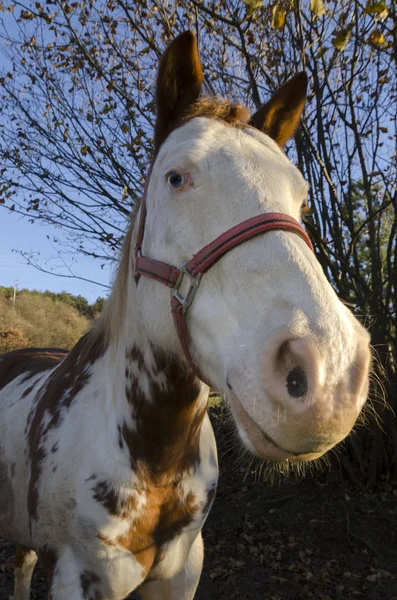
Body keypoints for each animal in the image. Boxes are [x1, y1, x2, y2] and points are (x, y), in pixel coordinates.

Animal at [1, 31, 370, 600]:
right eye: (176, 178)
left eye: (303, 197)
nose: (329, 374)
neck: (155, 456)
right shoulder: (78, 575)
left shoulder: (183, 570)